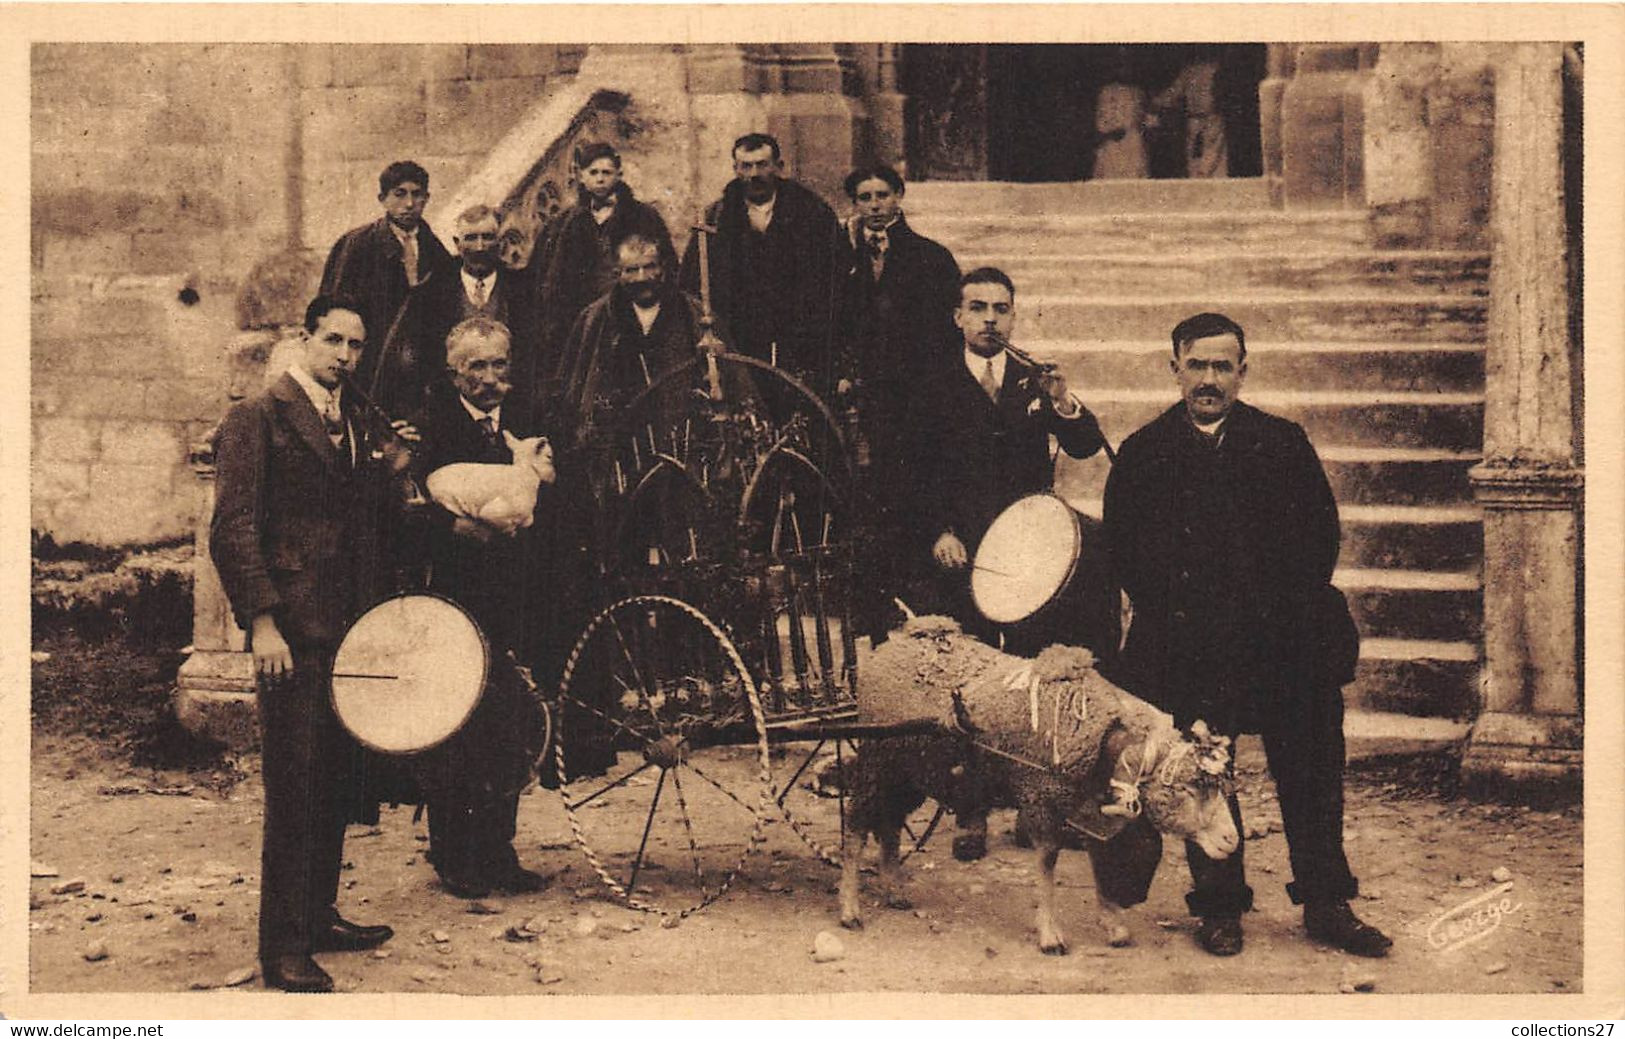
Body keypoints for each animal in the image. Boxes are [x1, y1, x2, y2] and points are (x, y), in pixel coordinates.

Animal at [425, 432, 559, 536]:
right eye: (549, 457)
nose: (554, 478)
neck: (524, 472)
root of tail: (429, 479)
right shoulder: (493, 513)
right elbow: (512, 526)